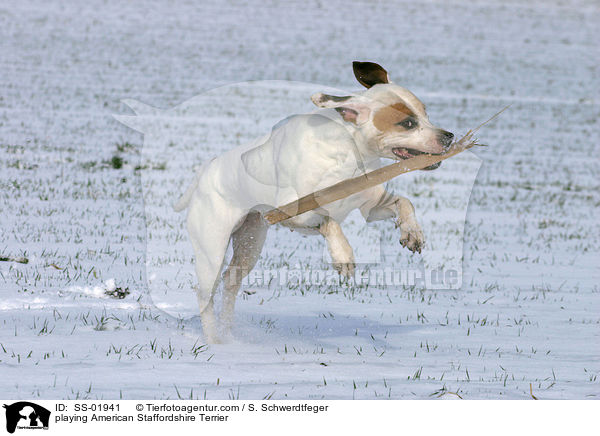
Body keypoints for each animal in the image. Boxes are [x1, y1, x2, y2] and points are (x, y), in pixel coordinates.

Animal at [175, 62, 454, 344]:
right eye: (407, 123)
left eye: (425, 113)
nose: (449, 136)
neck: (348, 152)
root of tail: (205, 172)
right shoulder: (291, 212)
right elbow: (329, 221)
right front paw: (343, 255)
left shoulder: (371, 206)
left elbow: (404, 203)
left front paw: (412, 232)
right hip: (212, 250)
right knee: (205, 294)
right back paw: (214, 340)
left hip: (250, 242)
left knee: (231, 281)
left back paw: (229, 333)